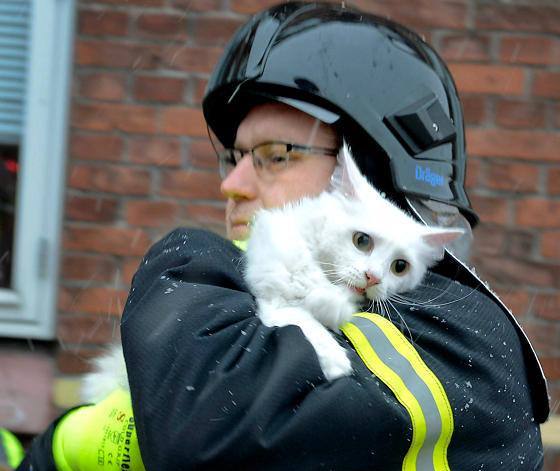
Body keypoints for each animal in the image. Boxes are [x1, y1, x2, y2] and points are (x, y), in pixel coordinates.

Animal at [82, 143, 460, 402]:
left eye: (400, 267)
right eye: (362, 241)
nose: (374, 279)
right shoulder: (273, 299)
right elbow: (304, 321)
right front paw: (334, 360)